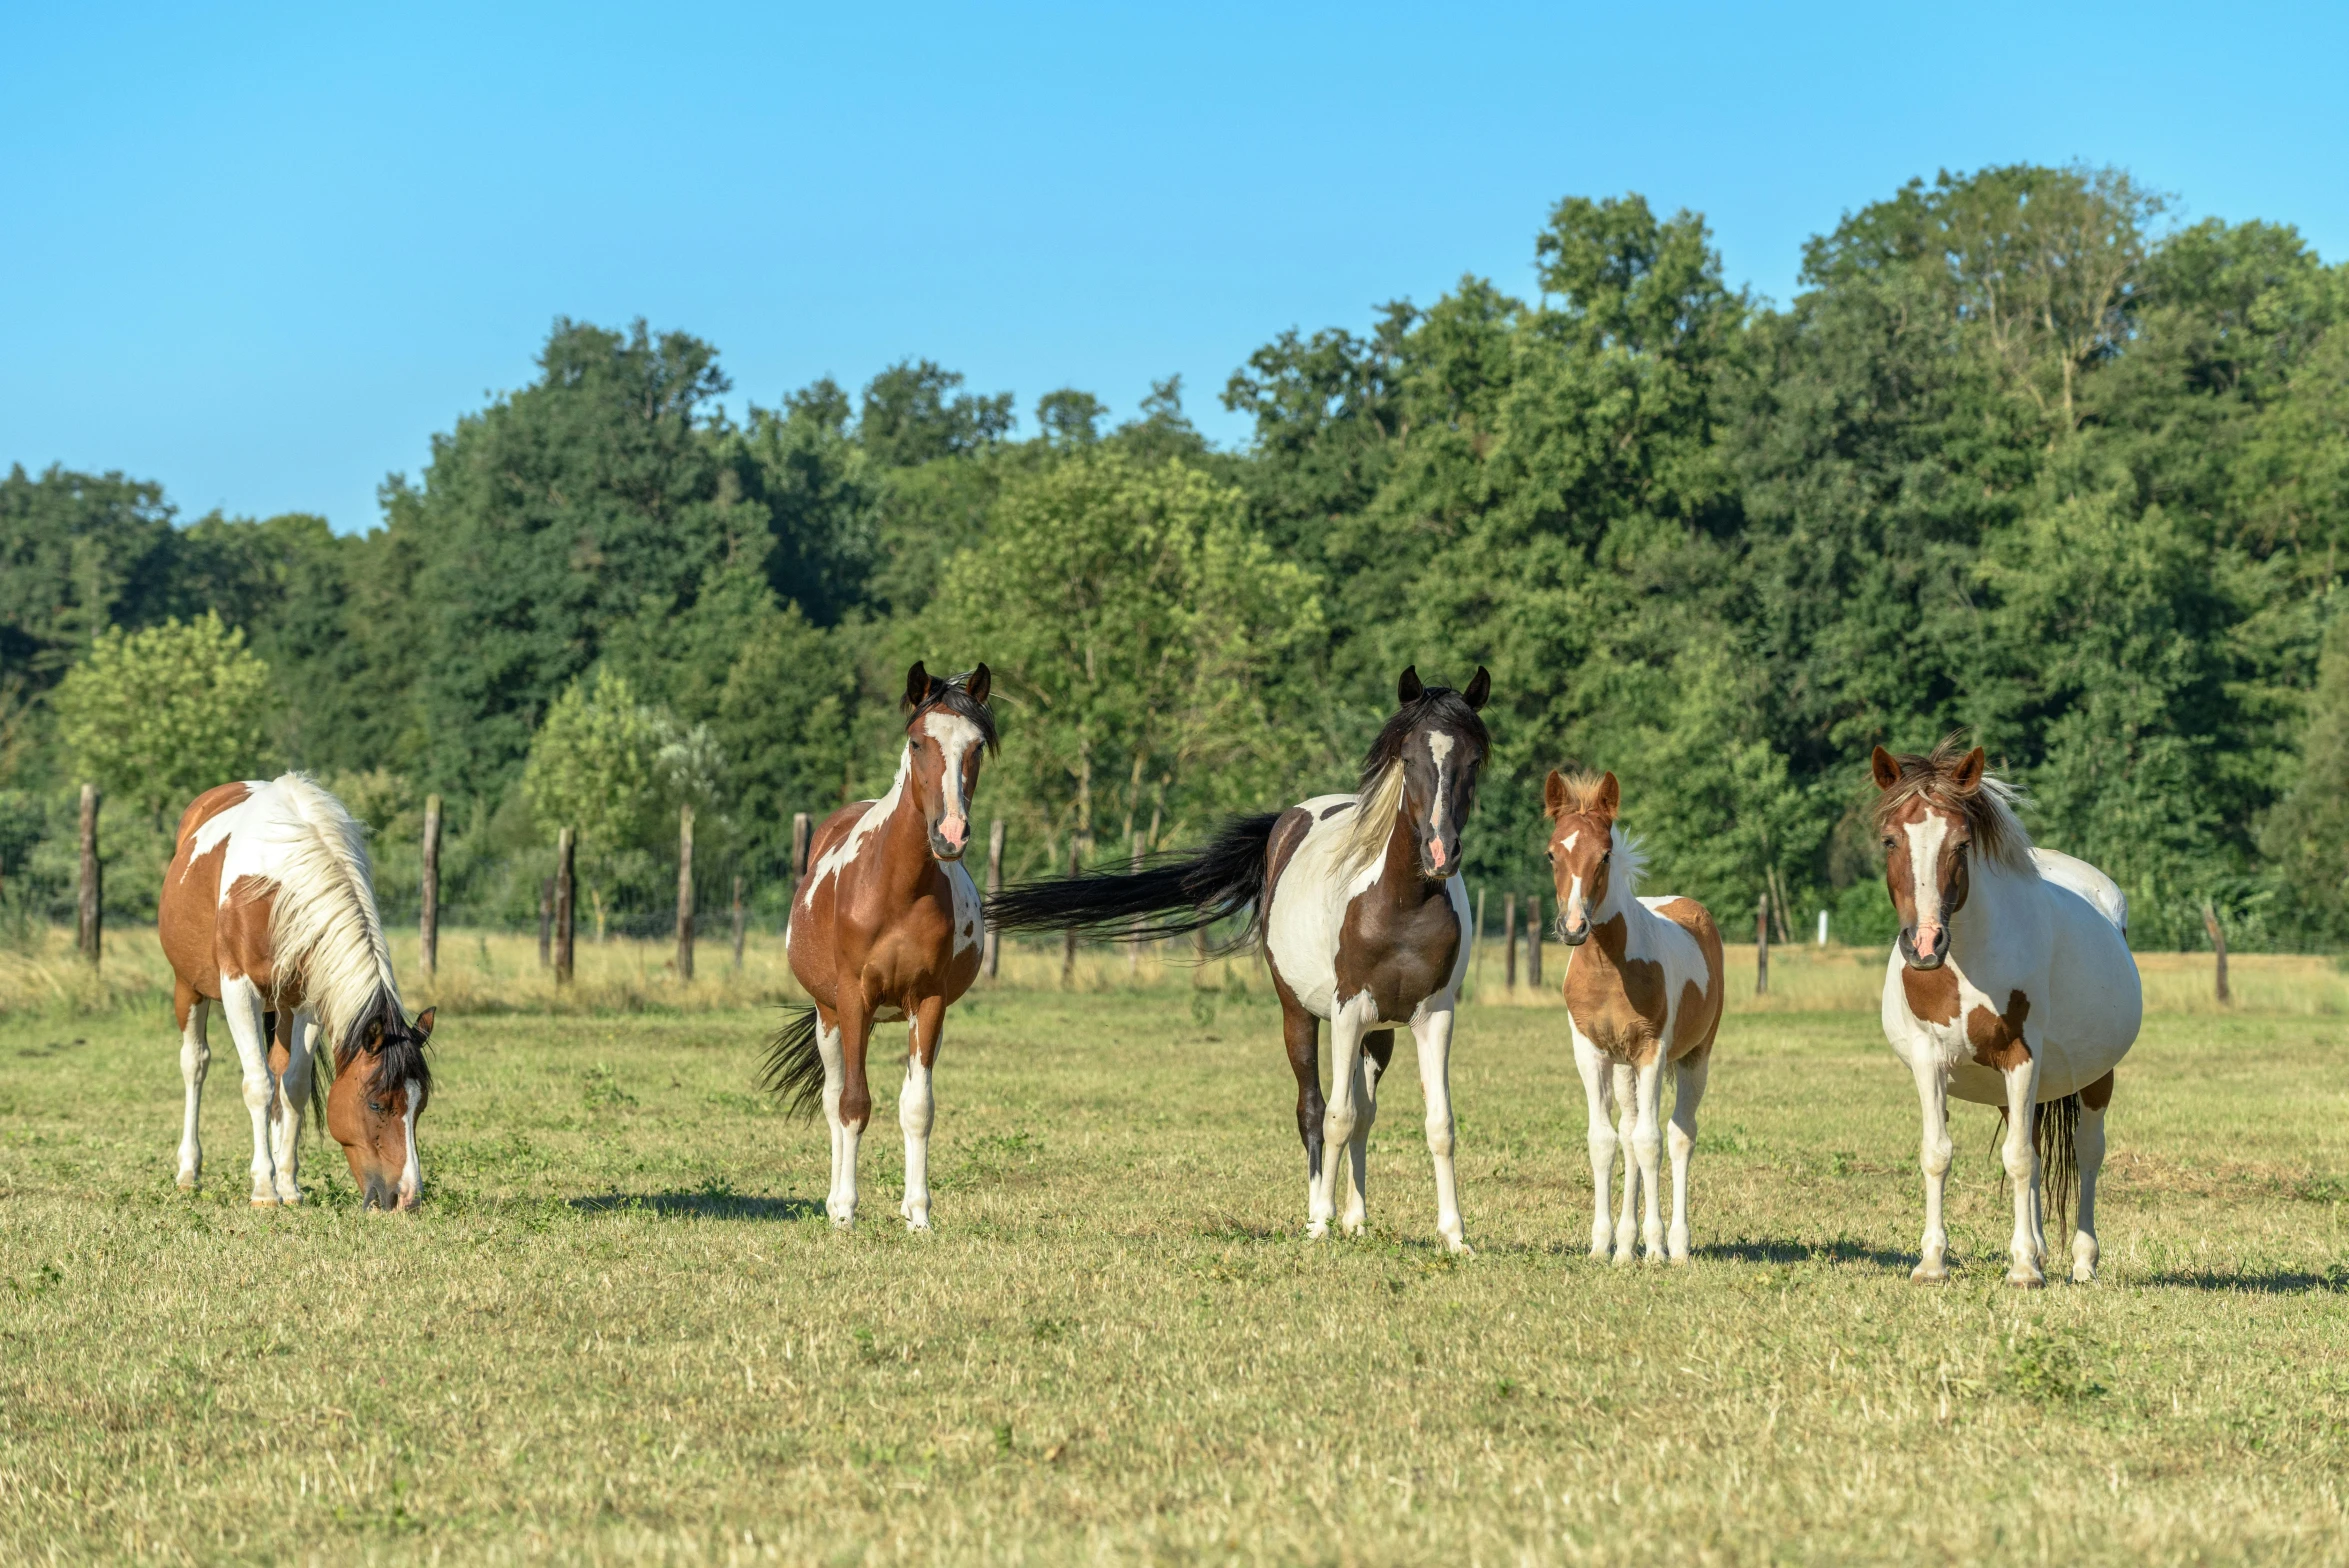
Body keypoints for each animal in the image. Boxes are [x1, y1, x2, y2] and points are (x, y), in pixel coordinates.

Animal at [158, 779, 434, 1211]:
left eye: (420, 1105)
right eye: (375, 1103)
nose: (406, 1197)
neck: (278, 888)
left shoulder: (307, 1002)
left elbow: (294, 1087)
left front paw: (287, 1184)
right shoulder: (238, 990)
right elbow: (257, 1085)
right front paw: (264, 1189)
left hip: (282, 1006)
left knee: (277, 1071)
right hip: (188, 985)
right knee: (195, 1065)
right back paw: (189, 1172)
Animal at [765, 657, 995, 1229]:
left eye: (977, 745)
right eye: (916, 741)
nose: (950, 834)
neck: (897, 889)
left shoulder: (929, 1003)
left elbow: (918, 1108)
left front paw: (919, 1214)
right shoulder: (853, 1000)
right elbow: (852, 1105)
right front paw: (846, 1210)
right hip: (829, 1016)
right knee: (832, 1099)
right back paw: (833, 1202)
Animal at [986, 666, 1484, 1258]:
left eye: (1474, 760)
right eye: (1407, 758)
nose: (1441, 852)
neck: (1401, 902)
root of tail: (1288, 821)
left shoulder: (1434, 1015)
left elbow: (1438, 1124)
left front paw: (1455, 1236)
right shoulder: (1346, 1011)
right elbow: (1335, 1117)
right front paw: (1320, 1222)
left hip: (1379, 1031)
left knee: (1365, 1112)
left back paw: (1357, 1219)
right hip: (1300, 1013)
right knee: (1315, 1109)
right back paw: (1322, 1215)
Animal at [1540, 769, 1728, 1258]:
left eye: (1605, 854)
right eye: (1552, 852)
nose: (1573, 927)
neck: (1610, 969)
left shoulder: (1651, 1051)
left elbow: (1651, 1141)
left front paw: (1657, 1247)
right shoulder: (1590, 1052)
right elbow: (1604, 1141)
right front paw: (1602, 1246)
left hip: (1695, 1055)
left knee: (1680, 1134)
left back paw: (1677, 1246)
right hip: (1623, 1066)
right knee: (1626, 1132)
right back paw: (1626, 1246)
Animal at [1879, 741, 2142, 1295]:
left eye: (1961, 843)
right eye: (1890, 839)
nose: (1925, 944)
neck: (1963, 964)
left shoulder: (2020, 1058)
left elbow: (2018, 1159)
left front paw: (2022, 1269)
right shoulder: (1928, 1060)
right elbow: (1938, 1153)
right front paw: (1932, 1262)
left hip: (2094, 1077)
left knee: (2087, 1152)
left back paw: (2083, 1261)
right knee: (2040, 1154)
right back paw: (2041, 1249)